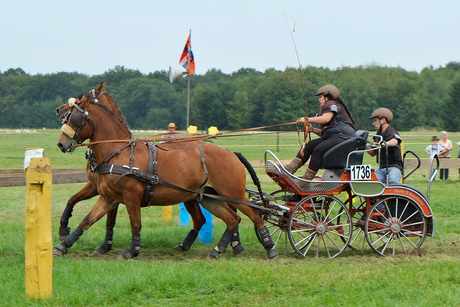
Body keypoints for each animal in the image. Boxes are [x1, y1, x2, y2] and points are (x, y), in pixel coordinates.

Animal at [54, 84, 276, 260]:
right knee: (231, 219)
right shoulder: (108, 196)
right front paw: (63, 244)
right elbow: (87, 219)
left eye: (75, 117)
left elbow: (135, 224)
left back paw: (268, 247)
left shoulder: (130, 196)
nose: (61, 144)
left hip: (233, 194)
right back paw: (217, 249)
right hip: (208, 197)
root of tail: (232, 153)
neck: (119, 151)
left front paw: (132, 250)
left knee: (254, 215)